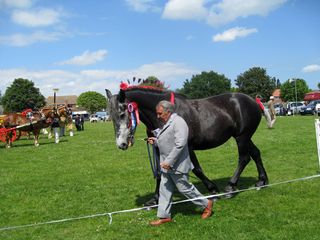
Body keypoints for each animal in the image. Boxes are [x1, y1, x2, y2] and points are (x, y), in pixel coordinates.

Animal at [106, 85, 268, 204]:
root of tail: (253, 101)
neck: (166, 116)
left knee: (244, 158)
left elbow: (197, 169)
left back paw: (230, 187)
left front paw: (213, 190)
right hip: (245, 137)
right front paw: (155, 199)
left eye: (122, 114)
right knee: (256, 153)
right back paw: (262, 181)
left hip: (242, 137)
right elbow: (159, 172)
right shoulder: (158, 146)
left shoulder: (186, 147)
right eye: (111, 116)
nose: (121, 144)